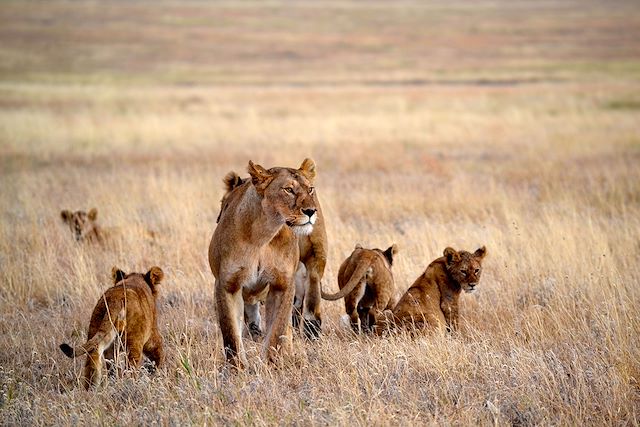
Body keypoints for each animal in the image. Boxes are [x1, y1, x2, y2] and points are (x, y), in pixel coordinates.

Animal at [209, 159, 318, 366]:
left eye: (310, 189)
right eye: (288, 190)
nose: (311, 211)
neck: (263, 234)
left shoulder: (282, 284)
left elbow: (277, 331)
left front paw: (270, 364)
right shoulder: (227, 284)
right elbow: (230, 334)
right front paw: (237, 368)